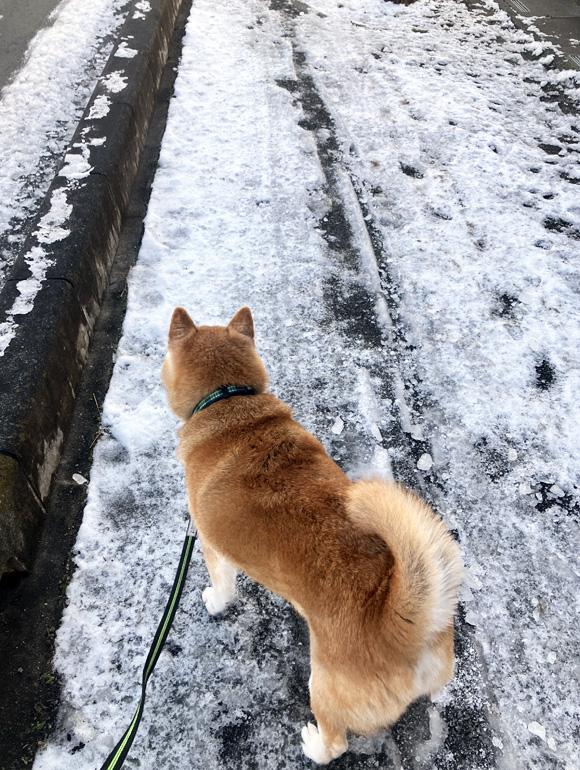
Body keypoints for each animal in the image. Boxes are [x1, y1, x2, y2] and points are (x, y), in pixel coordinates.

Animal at [162, 306, 463, 764]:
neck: (228, 400)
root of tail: (401, 628)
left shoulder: (213, 548)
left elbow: (223, 585)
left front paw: (215, 601)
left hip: (321, 686)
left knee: (336, 743)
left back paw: (314, 745)